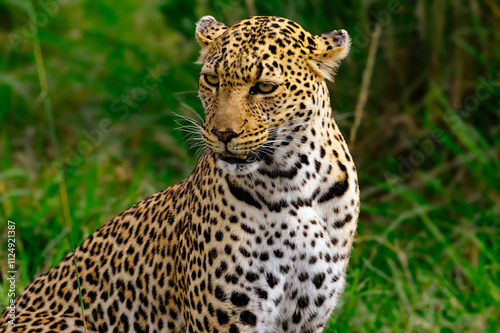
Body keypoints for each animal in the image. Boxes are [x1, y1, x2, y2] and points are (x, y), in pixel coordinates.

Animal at [0, 14, 360, 330]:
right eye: (212, 80)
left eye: (265, 87)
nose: (223, 133)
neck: (291, 182)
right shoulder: (224, 319)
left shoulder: (307, 314)